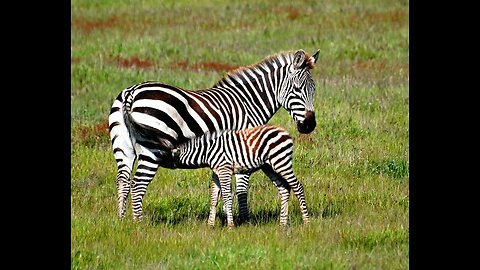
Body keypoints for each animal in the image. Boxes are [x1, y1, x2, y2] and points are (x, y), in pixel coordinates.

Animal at [171, 124, 310, 228]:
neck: (207, 151)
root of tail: (284, 131)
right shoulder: (216, 172)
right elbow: (214, 198)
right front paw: (210, 225)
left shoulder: (224, 169)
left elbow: (227, 197)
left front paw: (230, 226)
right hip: (269, 167)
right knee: (284, 188)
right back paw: (282, 224)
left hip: (281, 161)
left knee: (297, 187)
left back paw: (306, 222)